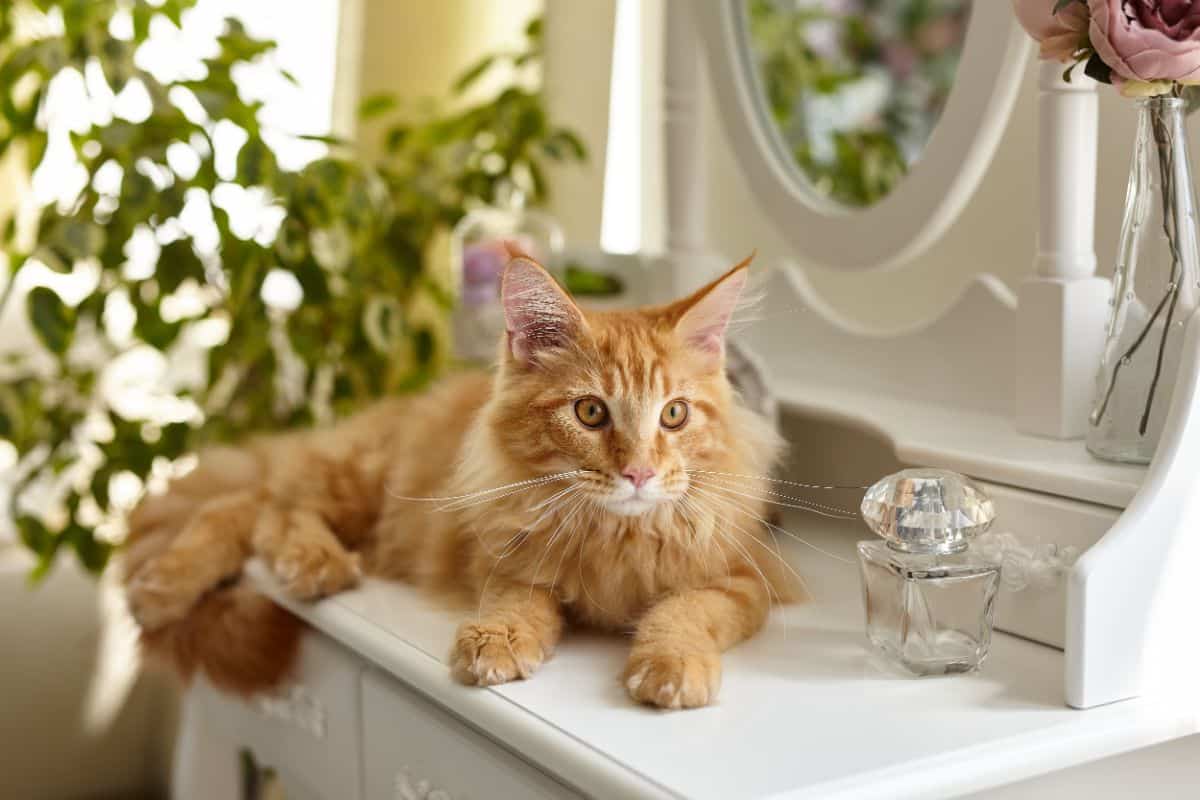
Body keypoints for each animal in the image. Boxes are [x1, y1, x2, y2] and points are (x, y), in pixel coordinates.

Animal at [124, 253, 796, 710]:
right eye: (590, 412)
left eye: (674, 415)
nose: (639, 472)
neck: (615, 538)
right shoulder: (503, 555)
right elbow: (520, 602)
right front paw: (498, 640)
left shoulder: (743, 577)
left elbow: (685, 610)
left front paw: (671, 663)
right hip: (363, 484)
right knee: (262, 508)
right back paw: (218, 577)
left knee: (253, 507)